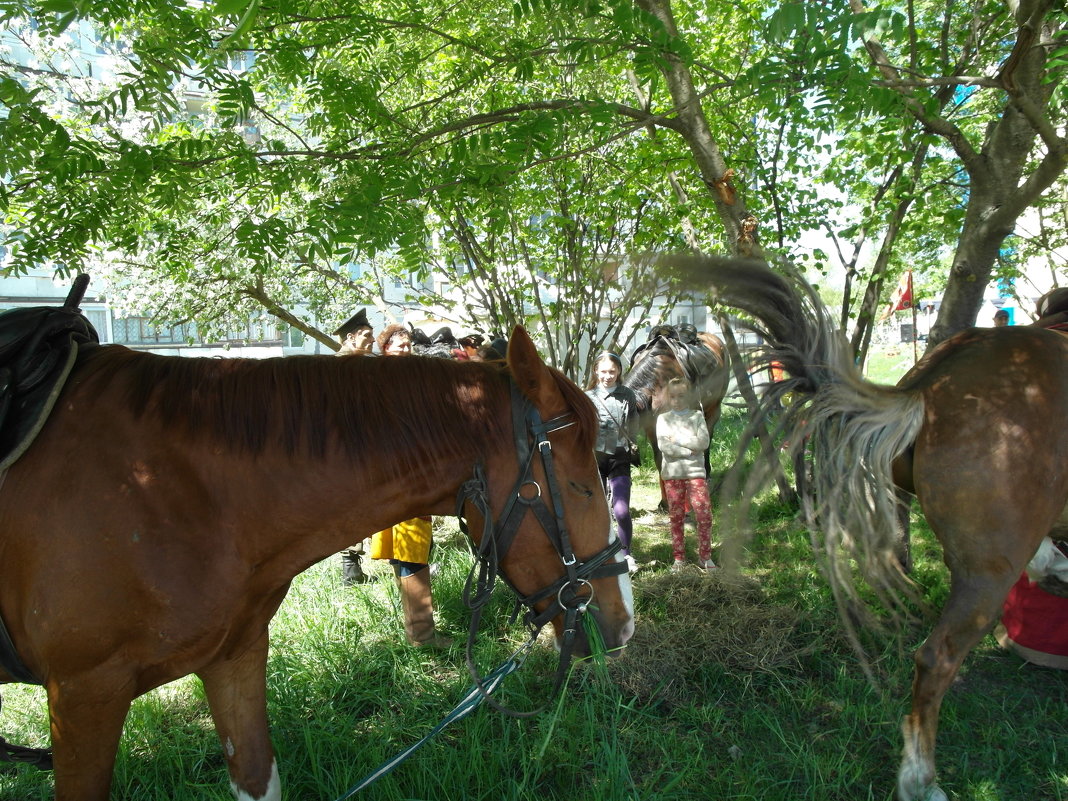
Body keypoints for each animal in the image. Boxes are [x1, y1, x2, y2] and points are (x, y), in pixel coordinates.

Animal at [0, 326, 632, 801]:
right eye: (579, 486)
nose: (624, 623)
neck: (178, 490)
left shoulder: (234, 659)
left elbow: (258, 779)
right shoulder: (84, 694)